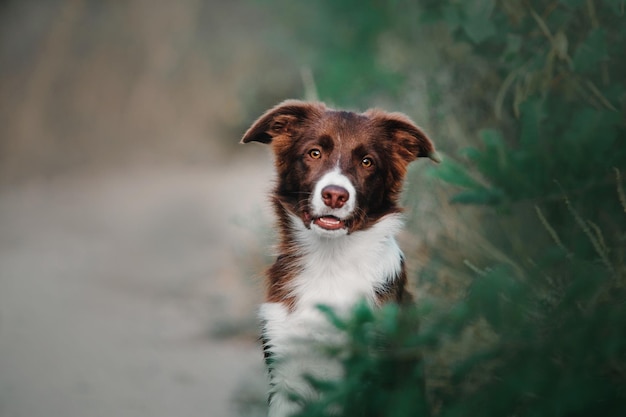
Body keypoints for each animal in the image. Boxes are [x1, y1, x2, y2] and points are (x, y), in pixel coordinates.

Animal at [241, 100, 436, 416]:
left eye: (367, 162)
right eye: (314, 153)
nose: (335, 195)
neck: (330, 263)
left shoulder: (369, 378)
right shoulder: (285, 376)